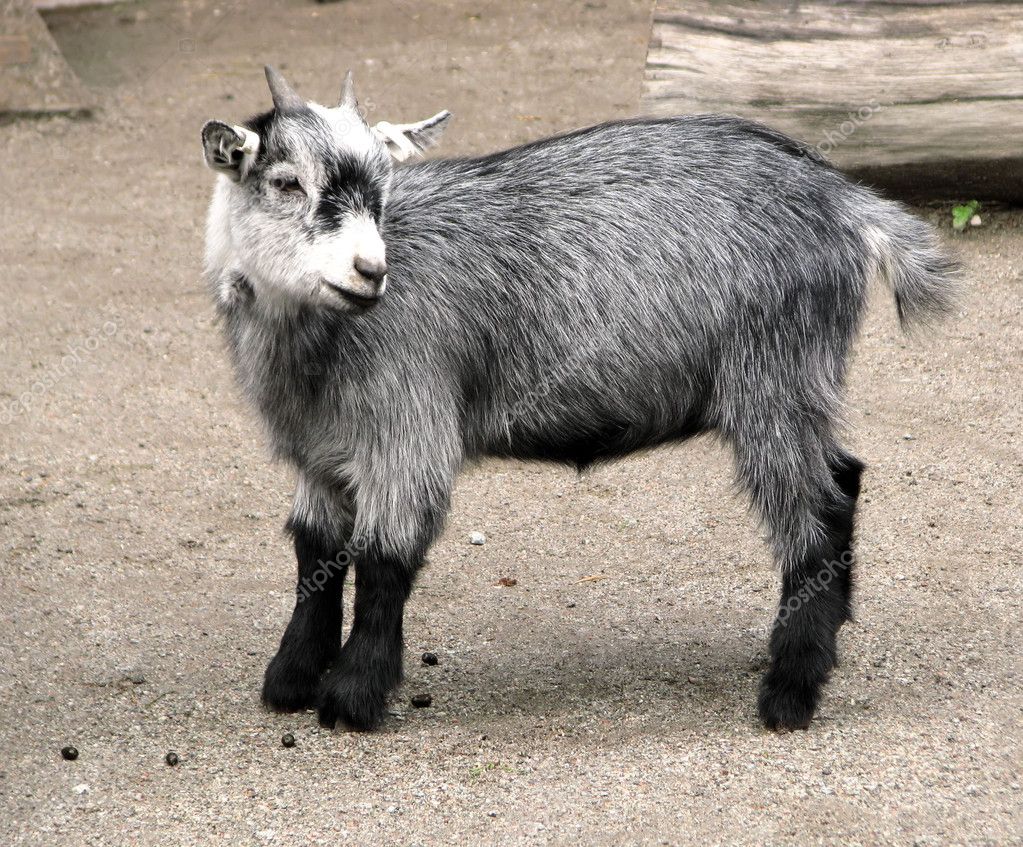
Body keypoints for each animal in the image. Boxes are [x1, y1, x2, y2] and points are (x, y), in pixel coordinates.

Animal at [200, 66, 959, 731]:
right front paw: (292, 678)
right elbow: (315, 550)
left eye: (383, 188)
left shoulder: (407, 427)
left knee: (816, 516)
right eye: (285, 182)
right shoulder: (317, 449)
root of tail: (844, 200)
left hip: (773, 378)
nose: (369, 270)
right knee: (845, 479)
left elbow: (385, 556)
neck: (317, 347)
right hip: (798, 383)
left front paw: (352, 696)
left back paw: (790, 692)